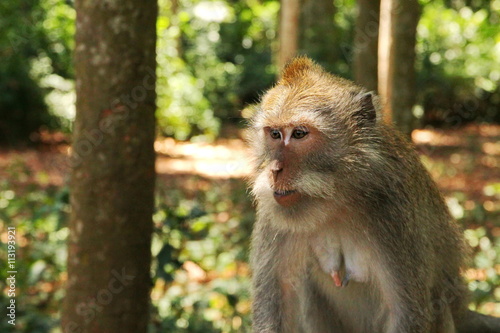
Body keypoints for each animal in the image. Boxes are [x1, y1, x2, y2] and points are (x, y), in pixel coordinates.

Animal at [247, 55, 500, 330]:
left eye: (299, 134)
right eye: (274, 134)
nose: (275, 169)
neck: (337, 200)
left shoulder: (395, 212)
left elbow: (406, 312)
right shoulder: (274, 217)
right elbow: (276, 302)